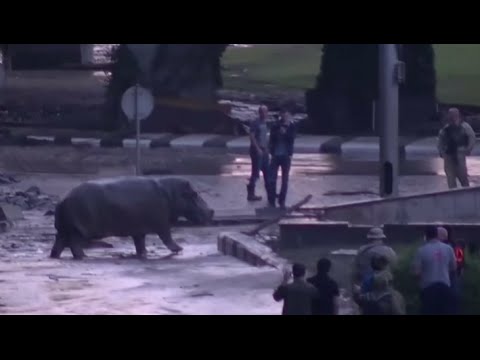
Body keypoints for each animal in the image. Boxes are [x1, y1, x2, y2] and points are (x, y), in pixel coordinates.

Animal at [50, 176, 214, 258]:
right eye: (194, 194)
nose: (211, 211)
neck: (171, 193)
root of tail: (62, 199)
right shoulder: (162, 224)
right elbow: (167, 237)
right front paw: (179, 249)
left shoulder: (139, 230)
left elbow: (140, 243)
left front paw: (144, 254)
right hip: (79, 230)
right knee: (73, 243)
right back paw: (83, 256)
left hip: (64, 229)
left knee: (59, 243)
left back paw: (55, 256)